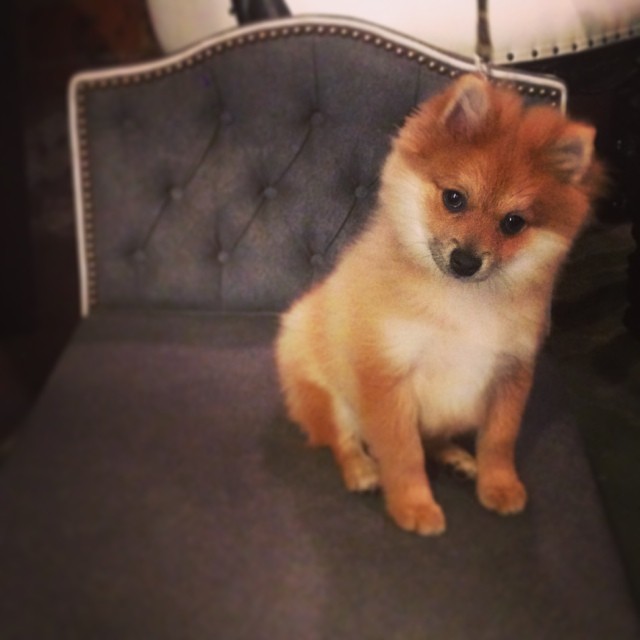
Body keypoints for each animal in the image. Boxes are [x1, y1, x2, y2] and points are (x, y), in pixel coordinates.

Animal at [275, 74, 603, 535]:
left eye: (513, 223)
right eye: (454, 198)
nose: (465, 260)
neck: (461, 301)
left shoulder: (511, 373)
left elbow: (499, 440)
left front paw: (499, 485)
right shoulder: (387, 375)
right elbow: (403, 453)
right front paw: (413, 506)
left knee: (434, 438)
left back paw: (455, 458)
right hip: (322, 389)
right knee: (341, 437)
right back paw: (362, 470)